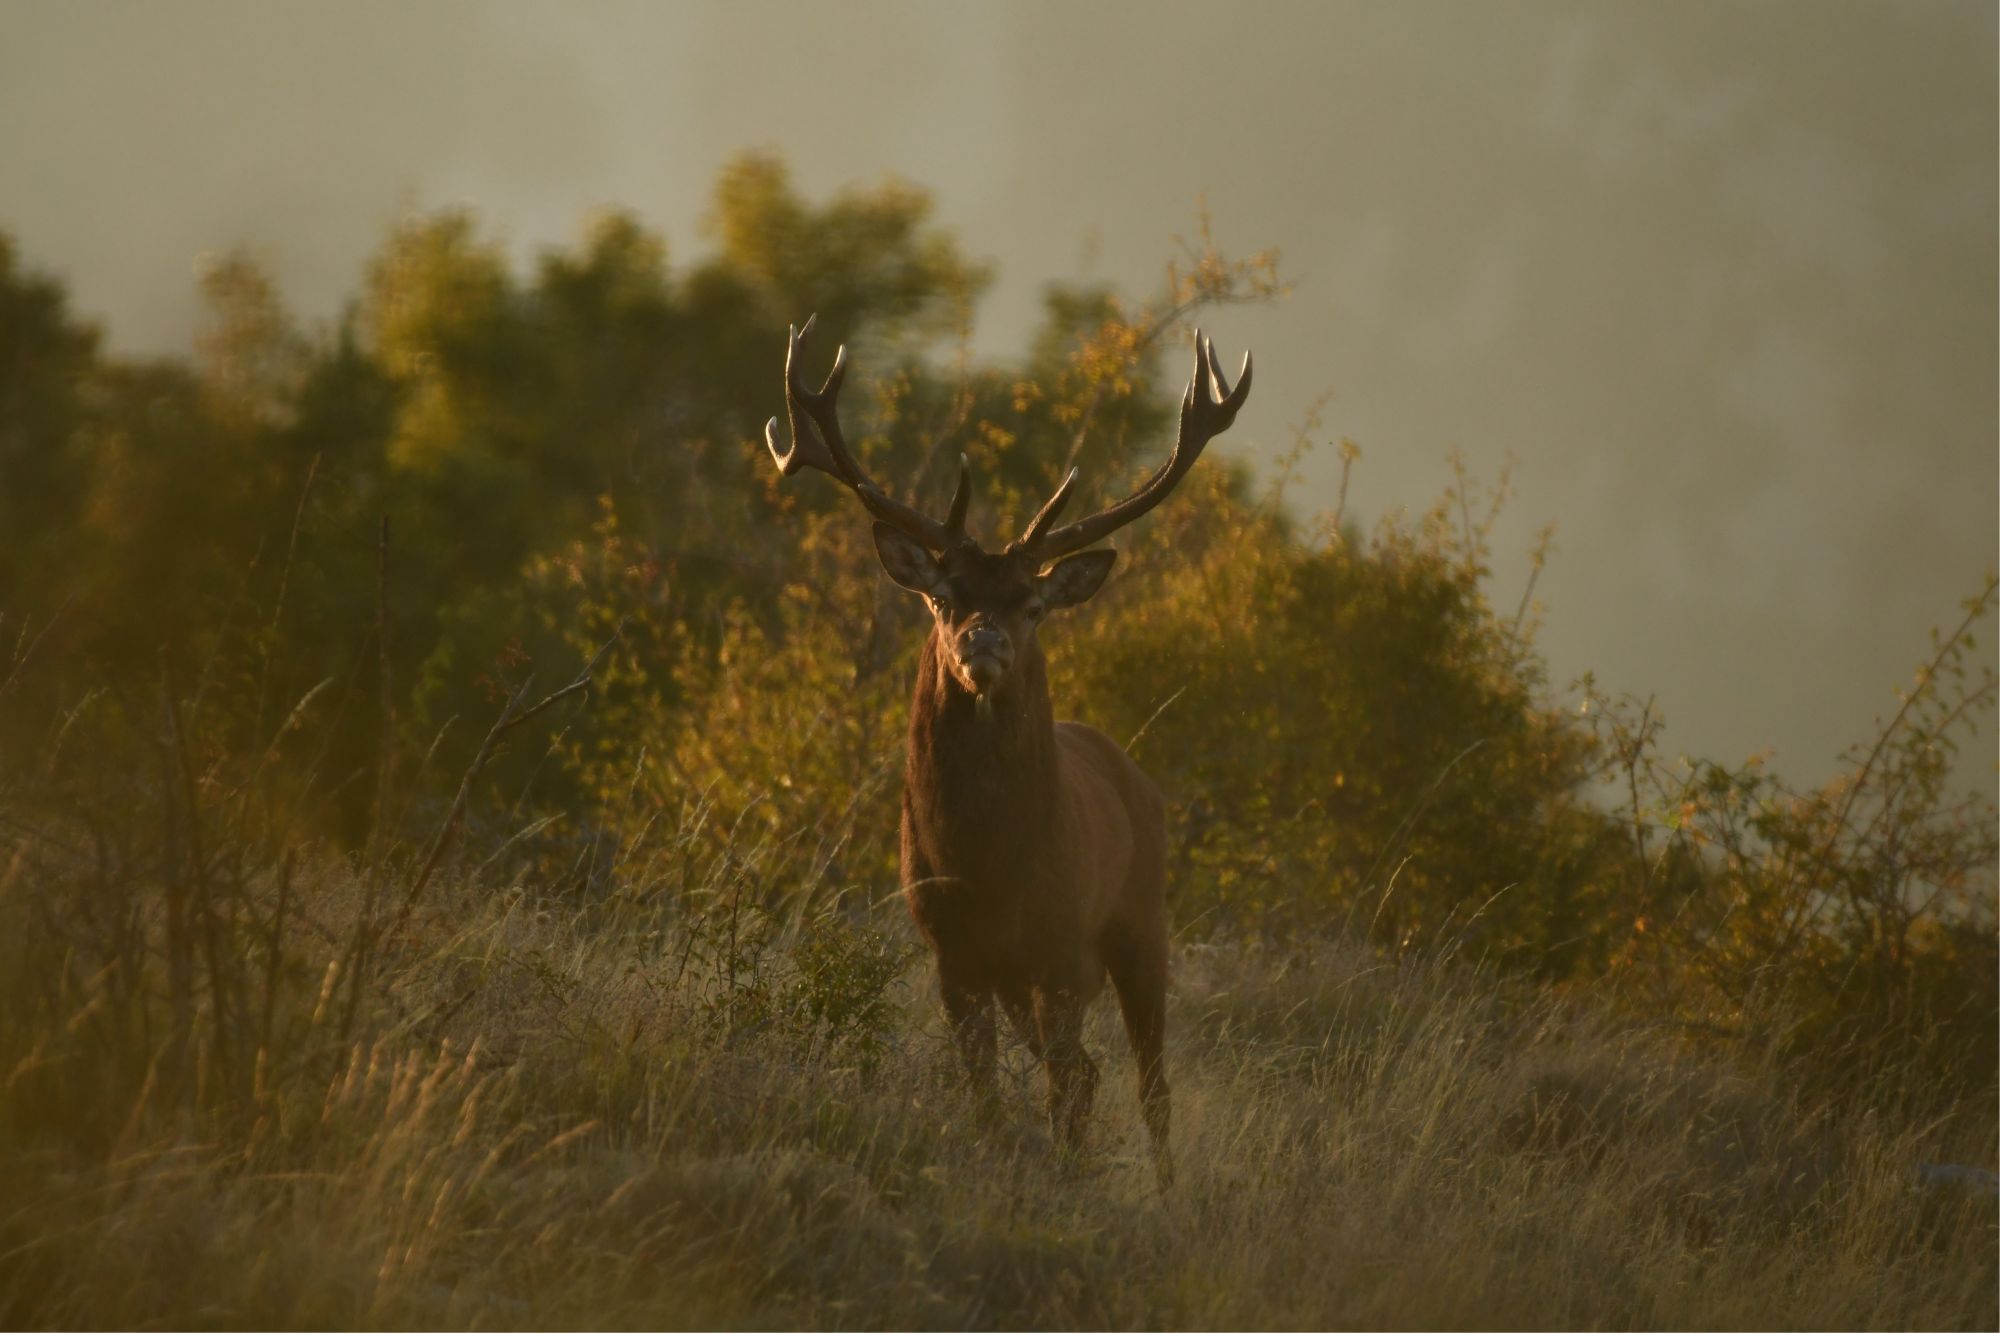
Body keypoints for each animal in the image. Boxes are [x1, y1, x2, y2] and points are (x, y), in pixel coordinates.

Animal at [763, 317, 1250, 1183]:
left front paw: (1067, 1176)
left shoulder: (1061, 953)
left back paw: (1166, 1188)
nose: (983, 643)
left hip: (1140, 922)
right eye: (943, 596)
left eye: (1031, 603)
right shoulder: (951, 954)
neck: (988, 865)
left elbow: (1066, 1089)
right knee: (1092, 1070)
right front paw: (1000, 1159)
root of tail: (1134, 772)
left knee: (1142, 1080)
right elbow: (987, 1091)